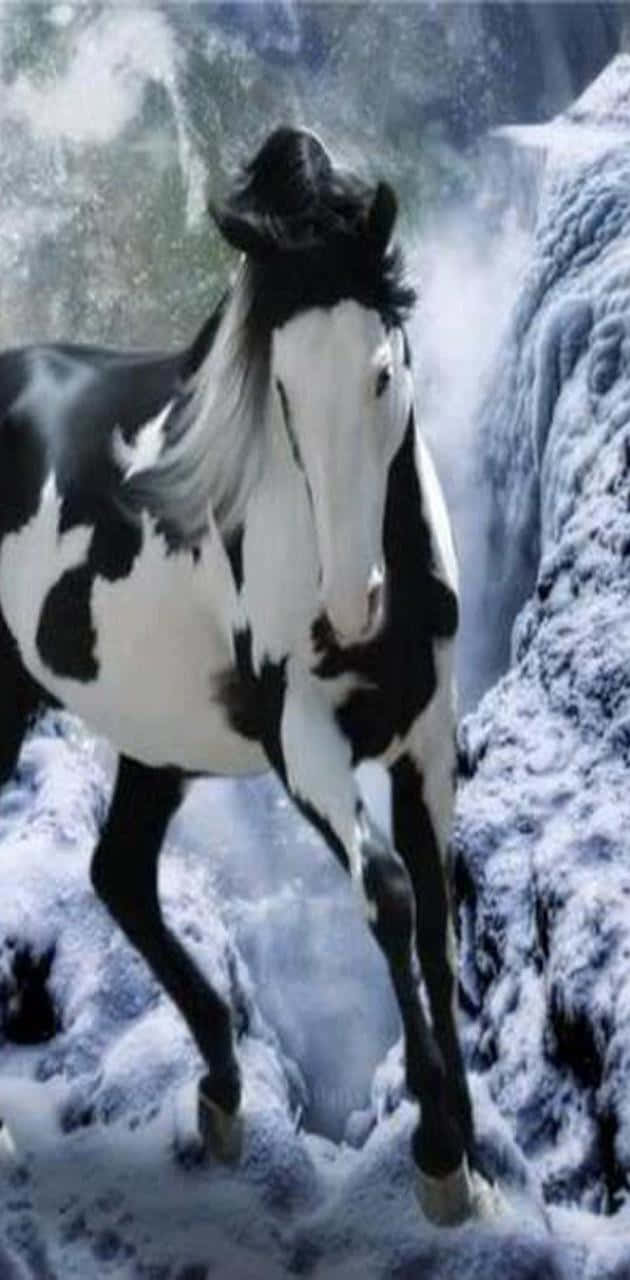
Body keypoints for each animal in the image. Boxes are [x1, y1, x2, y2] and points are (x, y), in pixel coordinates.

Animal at [0, 127, 487, 1226]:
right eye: (283, 395)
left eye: (383, 370)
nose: (351, 603)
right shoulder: (303, 742)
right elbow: (390, 896)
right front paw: (437, 1151)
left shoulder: (428, 737)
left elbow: (437, 915)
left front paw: (474, 1153)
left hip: (151, 740)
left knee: (119, 873)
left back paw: (222, 1087)